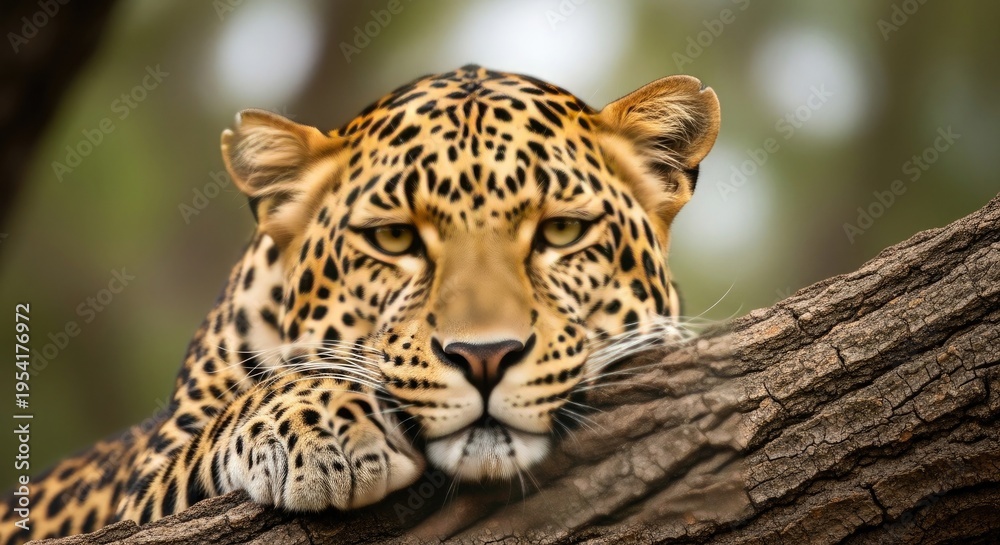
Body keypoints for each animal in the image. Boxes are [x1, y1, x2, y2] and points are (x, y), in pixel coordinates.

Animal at [0, 65, 720, 543]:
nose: (485, 357)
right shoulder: (141, 485)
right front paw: (328, 437)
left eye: (562, 231)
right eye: (395, 238)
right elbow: (250, 400)